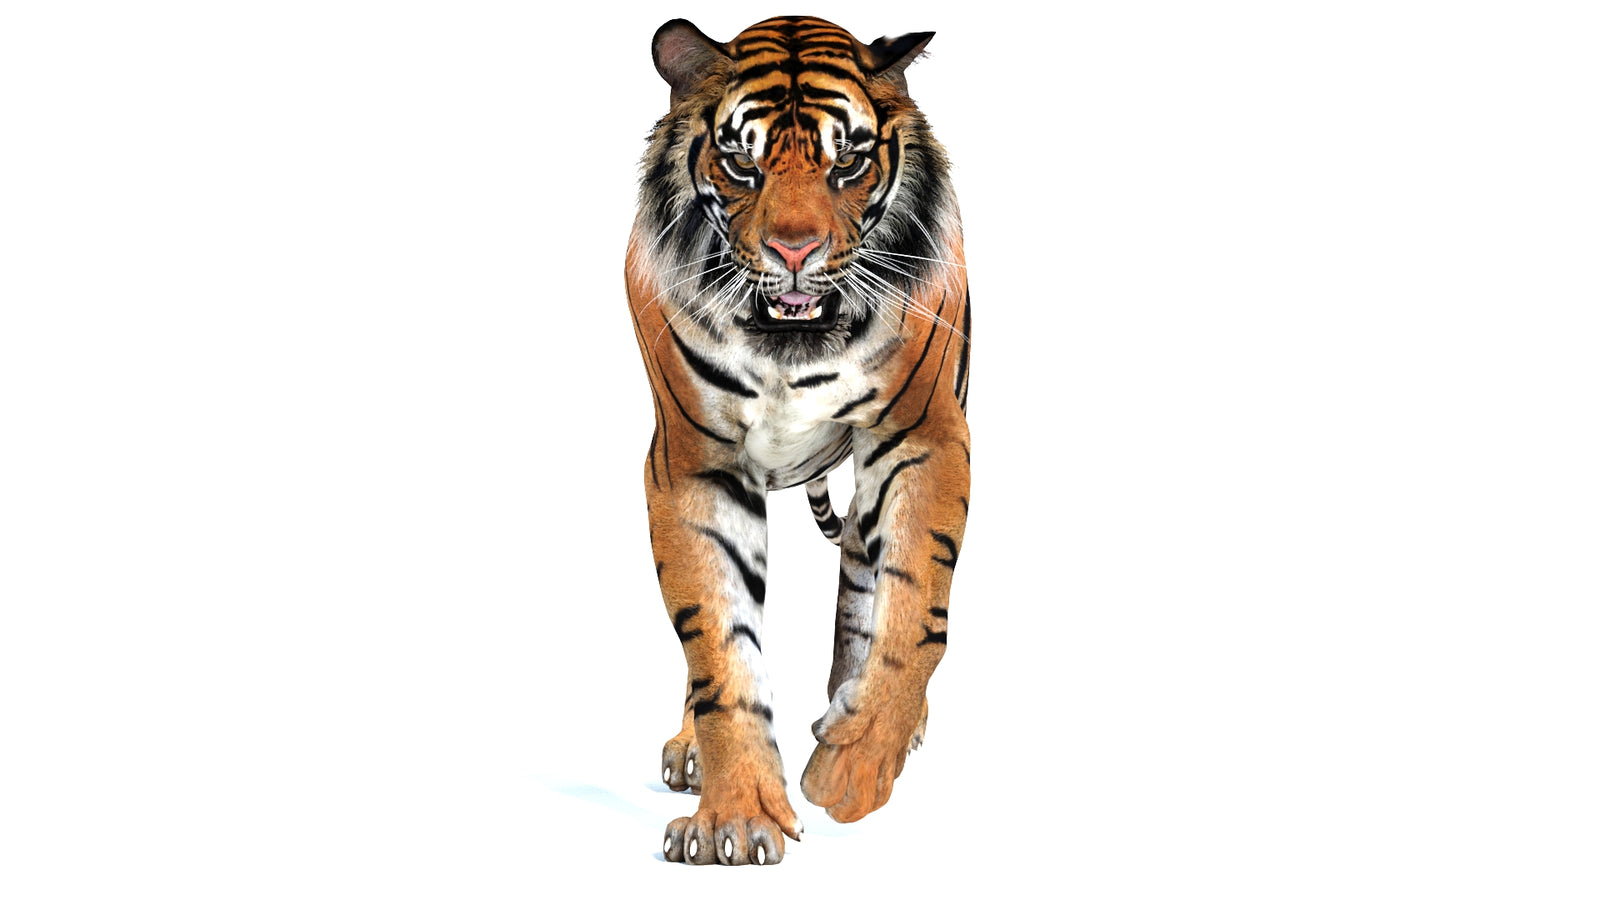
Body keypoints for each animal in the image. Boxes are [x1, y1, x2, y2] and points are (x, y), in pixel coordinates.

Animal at [626, 16, 970, 866]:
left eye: (847, 161)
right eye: (741, 163)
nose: (792, 252)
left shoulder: (925, 436)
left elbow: (914, 615)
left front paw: (852, 767)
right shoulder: (693, 464)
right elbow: (718, 647)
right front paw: (736, 818)